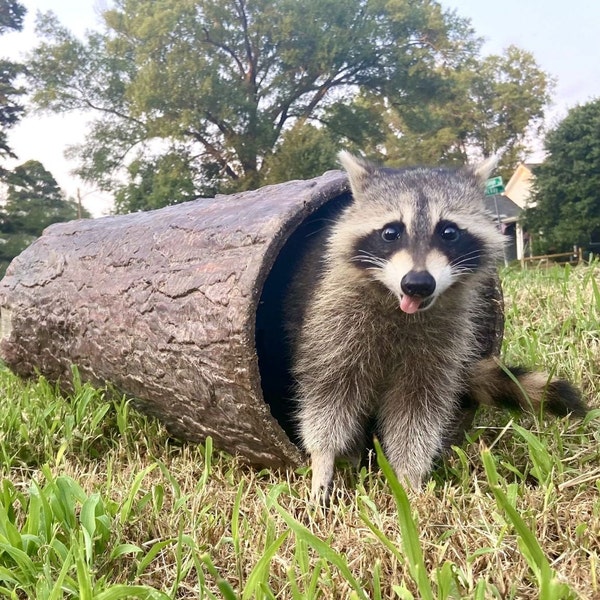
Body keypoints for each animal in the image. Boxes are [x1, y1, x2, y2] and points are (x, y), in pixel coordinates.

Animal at [286, 150, 584, 502]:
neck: (399, 307)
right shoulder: (332, 323)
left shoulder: (443, 342)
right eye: (391, 232)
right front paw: (323, 461)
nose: (417, 283)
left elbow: (417, 413)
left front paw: (409, 481)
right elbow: (326, 397)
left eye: (449, 232)